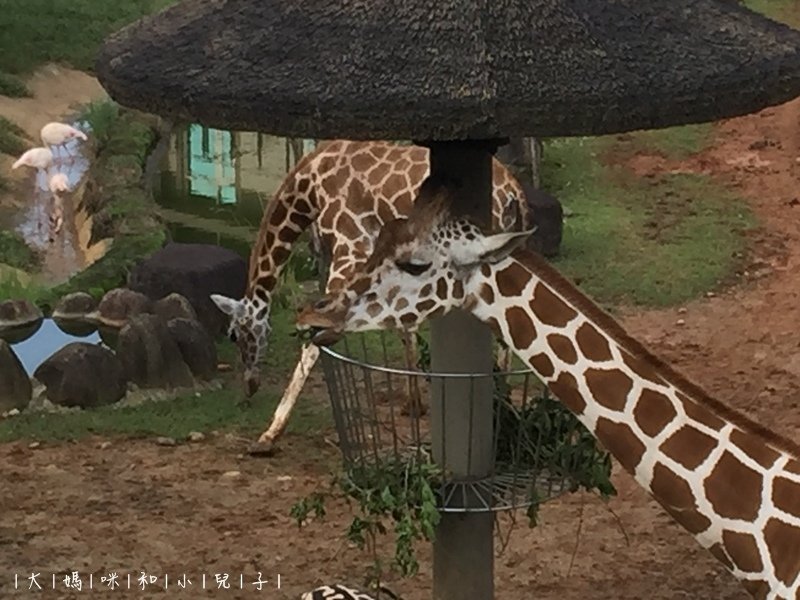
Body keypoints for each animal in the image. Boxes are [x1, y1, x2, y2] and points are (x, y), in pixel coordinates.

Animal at [208, 139, 532, 450]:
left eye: (234, 335)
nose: (249, 387)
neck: (307, 186)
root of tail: (514, 192)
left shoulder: (350, 246)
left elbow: (319, 333)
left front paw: (269, 434)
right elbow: (404, 324)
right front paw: (413, 404)